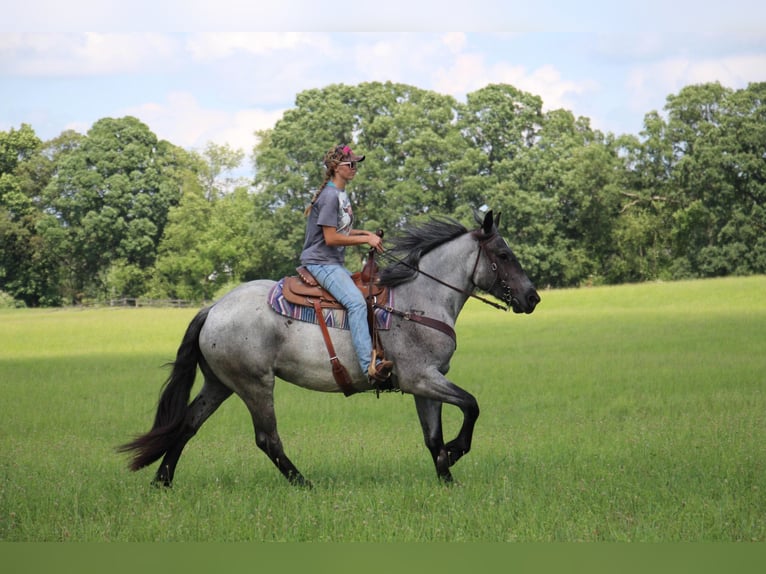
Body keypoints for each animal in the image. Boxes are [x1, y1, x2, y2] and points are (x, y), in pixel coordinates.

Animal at [118, 212, 540, 486]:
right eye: (504, 255)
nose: (532, 297)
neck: (420, 299)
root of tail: (214, 308)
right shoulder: (422, 378)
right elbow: (472, 405)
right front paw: (456, 452)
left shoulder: (426, 384)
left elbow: (433, 436)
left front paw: (447, 478)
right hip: (255, 385)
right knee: (267, 438)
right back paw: (303, 483)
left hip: (219, 384)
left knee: (188, 425)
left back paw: (162, 482)